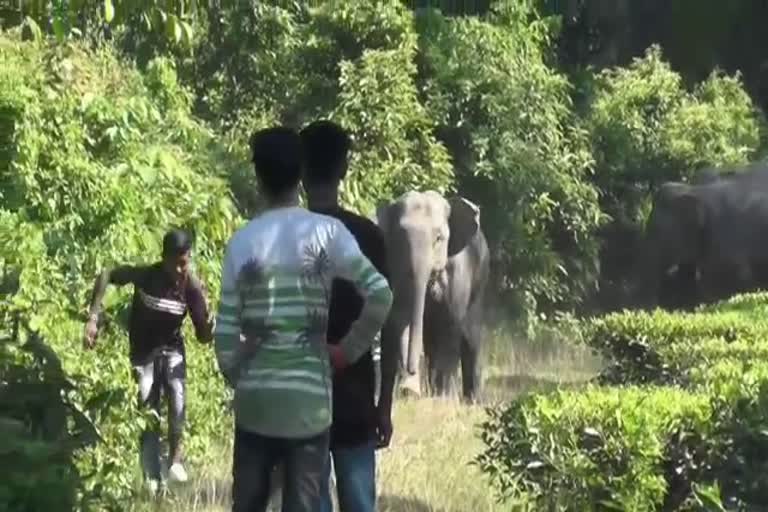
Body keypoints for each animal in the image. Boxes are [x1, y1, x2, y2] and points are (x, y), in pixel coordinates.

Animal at [374, 190, 492, 402]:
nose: (411, 372)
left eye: (438, 238)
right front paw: (409, 392)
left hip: (481, 280)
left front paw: (442, 398)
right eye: (399, 238)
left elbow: (449, 324)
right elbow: (399, 319)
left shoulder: (457, 274)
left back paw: (472, 400)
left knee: (470, 337)